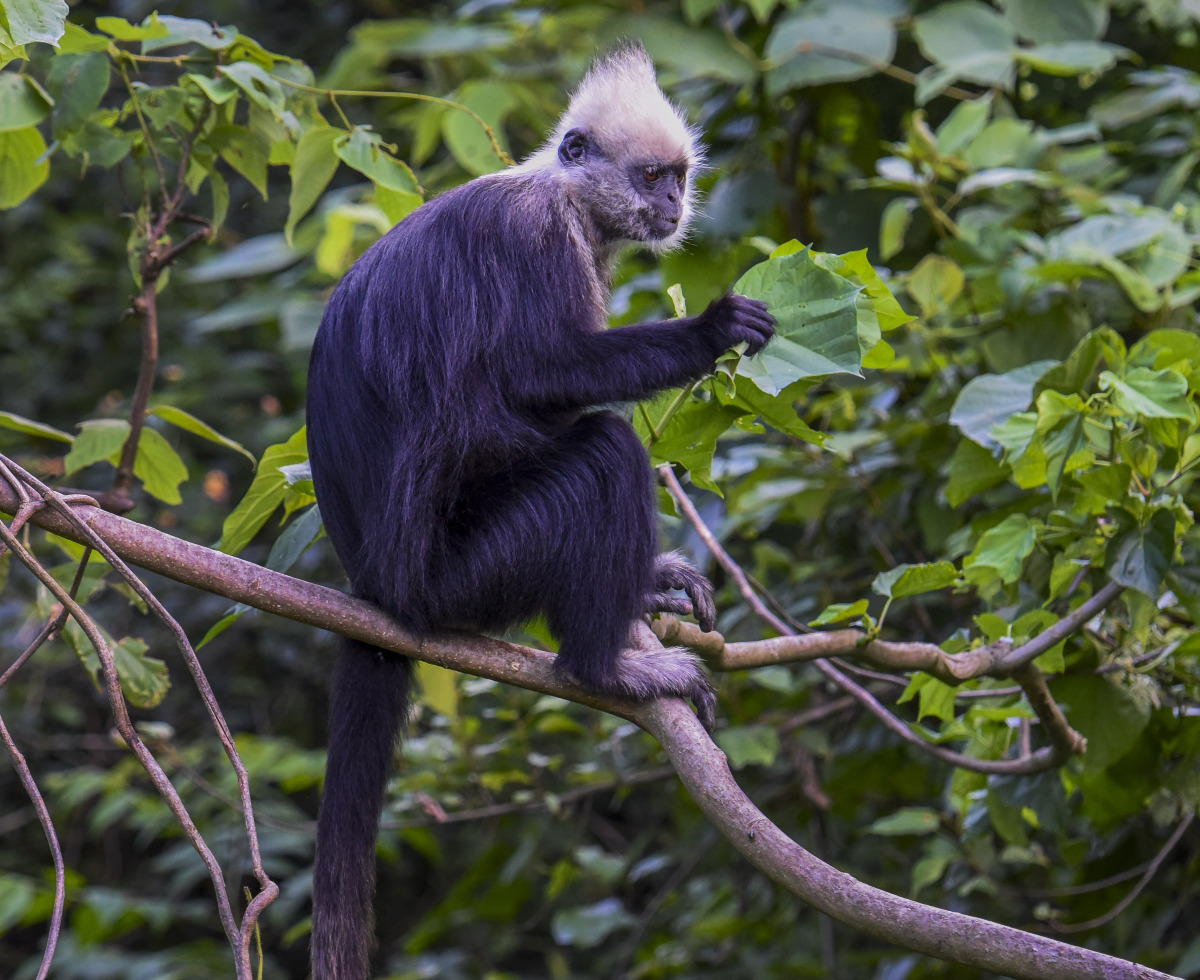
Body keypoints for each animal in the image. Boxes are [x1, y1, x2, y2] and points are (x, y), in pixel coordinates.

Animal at [307, 44, 777, 978]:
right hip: (468, 578)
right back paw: (602, 667)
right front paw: (709, 334)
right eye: (651, 177)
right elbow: (536, 379)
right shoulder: (537, 240)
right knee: (602, 452)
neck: (564, 198)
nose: (672, 206)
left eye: (677, 178)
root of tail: (379, 590)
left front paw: (658, 577)